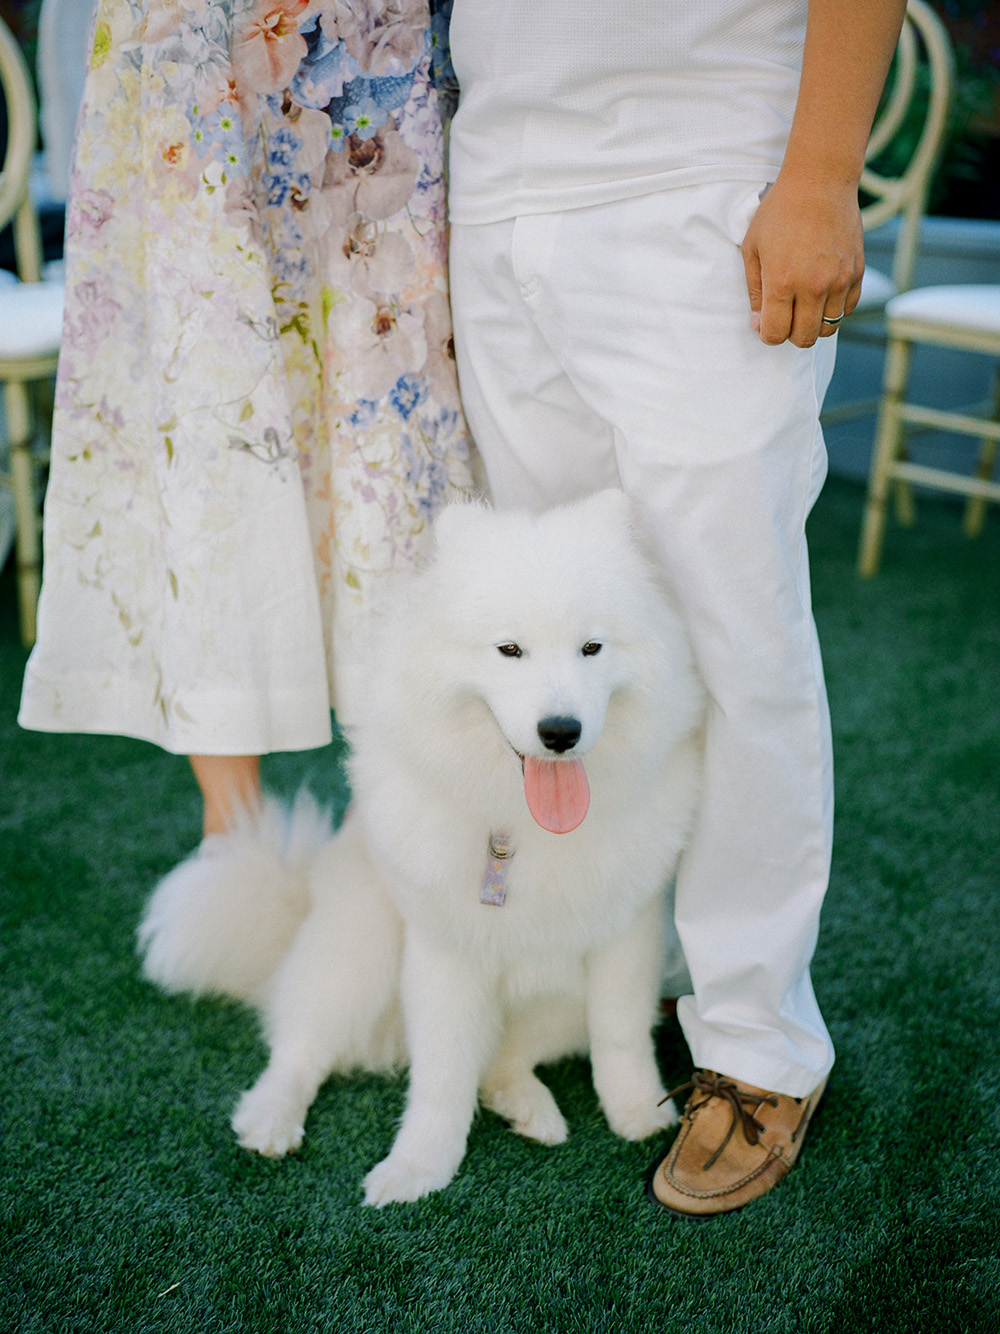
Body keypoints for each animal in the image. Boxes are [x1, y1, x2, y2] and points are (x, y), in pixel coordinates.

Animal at [139, 490, 704, 1211]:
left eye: (592, 647)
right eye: (509, 649)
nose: (561, 731)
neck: (527, 825)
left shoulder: (626, 933)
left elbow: (621, 1034)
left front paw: (638, 1113)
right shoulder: (443, 950)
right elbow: (440, 1075)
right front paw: (417, 1169)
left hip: (551, 1004)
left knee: (502, 1059)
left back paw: (530, 1109)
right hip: (359, 953)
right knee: (300, 1047)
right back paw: (269, 1119)